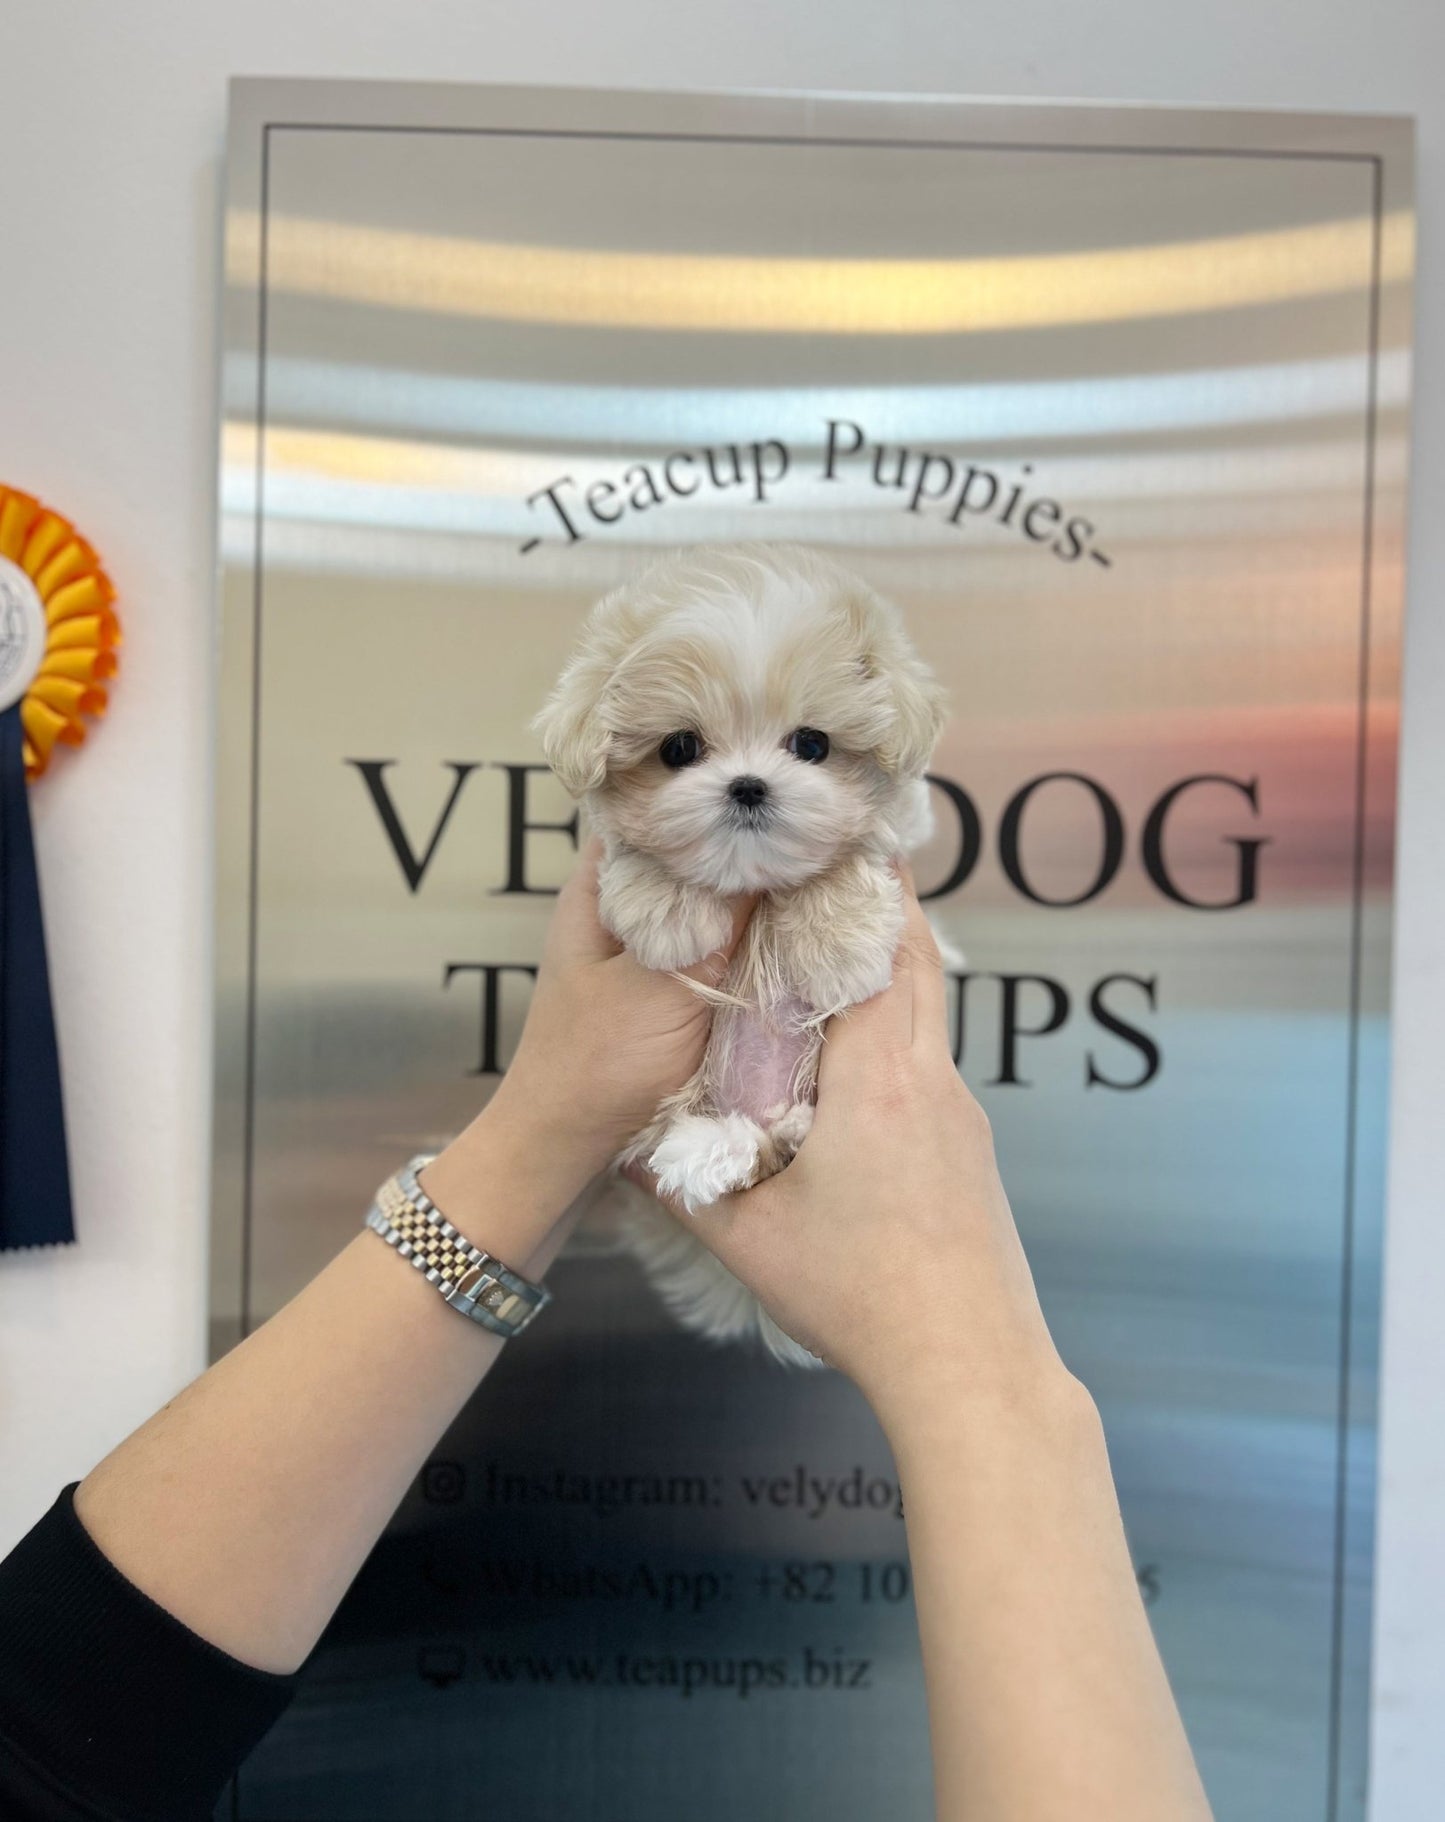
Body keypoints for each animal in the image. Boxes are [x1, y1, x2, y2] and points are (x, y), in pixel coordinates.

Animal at [532, 539, 947, 1370]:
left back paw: (731, 1145)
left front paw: (840, 944)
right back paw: (711, 1149)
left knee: (780, 1143)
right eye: (678, 748)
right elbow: (634, 859)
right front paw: (666, 906)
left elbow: (854, 851)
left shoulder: (902, 825)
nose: (748, 785)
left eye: (812, 744)